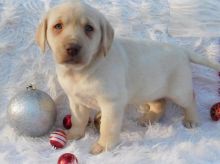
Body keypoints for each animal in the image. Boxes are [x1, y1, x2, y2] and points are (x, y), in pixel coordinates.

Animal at [35, 0, 220, 154]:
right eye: (58, 26)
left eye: (89, 28)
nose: (72, 48)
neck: (82, 71)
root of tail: (182, 50)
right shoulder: (76, 101)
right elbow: (78, 119)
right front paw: (74, 134)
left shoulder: (112, 103)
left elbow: (107, 127)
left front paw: (103, 146)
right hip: (149, 89)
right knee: (160, 103)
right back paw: (148, 118)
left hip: (179, 89)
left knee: (190, 99)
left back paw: (191, 119)